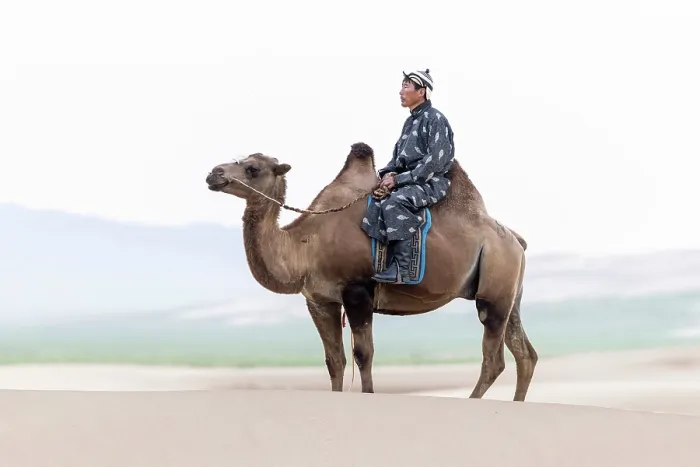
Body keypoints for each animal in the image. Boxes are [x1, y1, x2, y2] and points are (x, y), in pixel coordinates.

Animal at [205, 142, 538, 401]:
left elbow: (363, 354)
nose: (213, 173)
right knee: (525, 354)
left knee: (494, 358)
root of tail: (516, 240)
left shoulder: (358, 290)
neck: (305, 244)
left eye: (252, 168)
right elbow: (334, 360)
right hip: (510, 291)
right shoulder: (319, 300)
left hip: (495, 284)